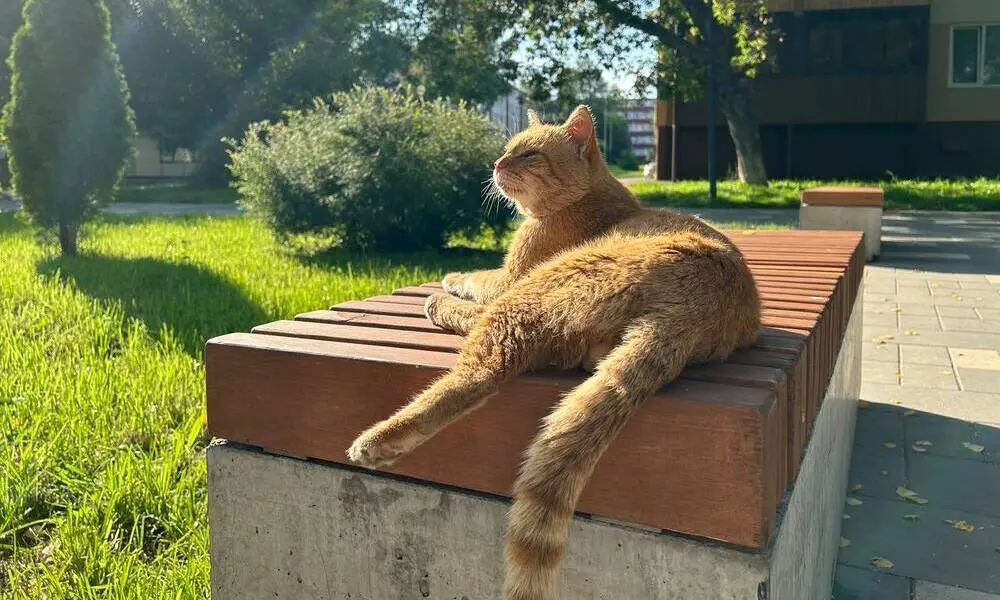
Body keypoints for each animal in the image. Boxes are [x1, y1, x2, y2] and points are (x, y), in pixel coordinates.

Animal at [348, 105, 760, 596]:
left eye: (528, 154)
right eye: (508, 149)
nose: (497, 165)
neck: (588, 200)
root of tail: (696, 307)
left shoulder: (511, 278)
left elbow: (478, 277)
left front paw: (451, 279)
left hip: (524, 300)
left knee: (478, 371)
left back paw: (382, 434)